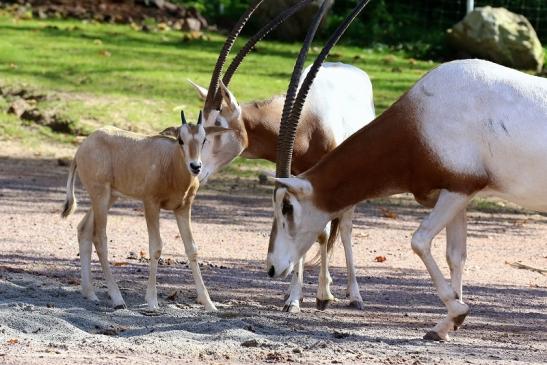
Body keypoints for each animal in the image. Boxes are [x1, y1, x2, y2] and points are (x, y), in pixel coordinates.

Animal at [61, 111, 231, 310]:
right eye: (180, 140)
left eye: (203, 139)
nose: (195, 166)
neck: (171, 163)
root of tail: (81, 149)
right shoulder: (150, 203)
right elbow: (156, 247)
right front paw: (152, 300)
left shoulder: (183, 208)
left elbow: (192, 249)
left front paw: (209, 303)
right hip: (100, 194)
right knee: (100, 237)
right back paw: (117, 298)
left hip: (110, 197)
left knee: (84, 229)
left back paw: (90, 293)